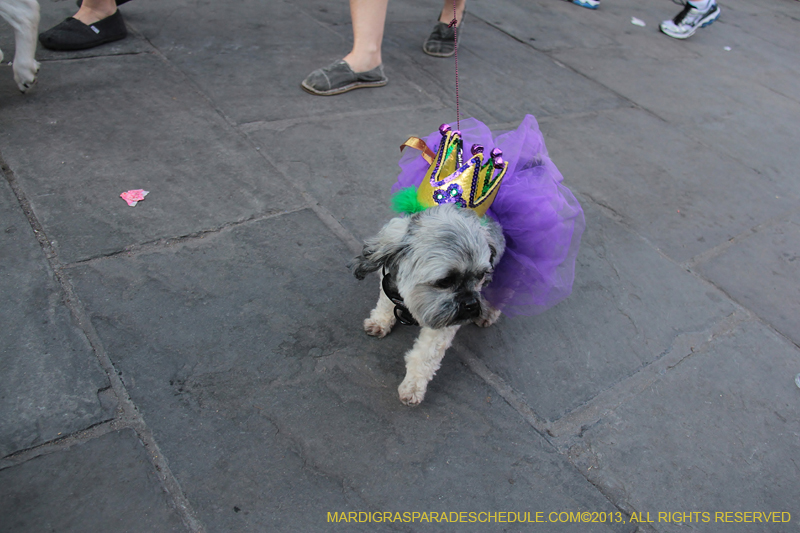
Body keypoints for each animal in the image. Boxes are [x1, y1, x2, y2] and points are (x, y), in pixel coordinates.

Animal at [350, 203, 506, 404]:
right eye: (445, 281)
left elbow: (425, 356)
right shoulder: (391, 278)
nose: (471, 304)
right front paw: (381, 321)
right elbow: (385, 302)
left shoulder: (444, 322)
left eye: (480, 275)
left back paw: (490, 311)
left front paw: (413, 386)